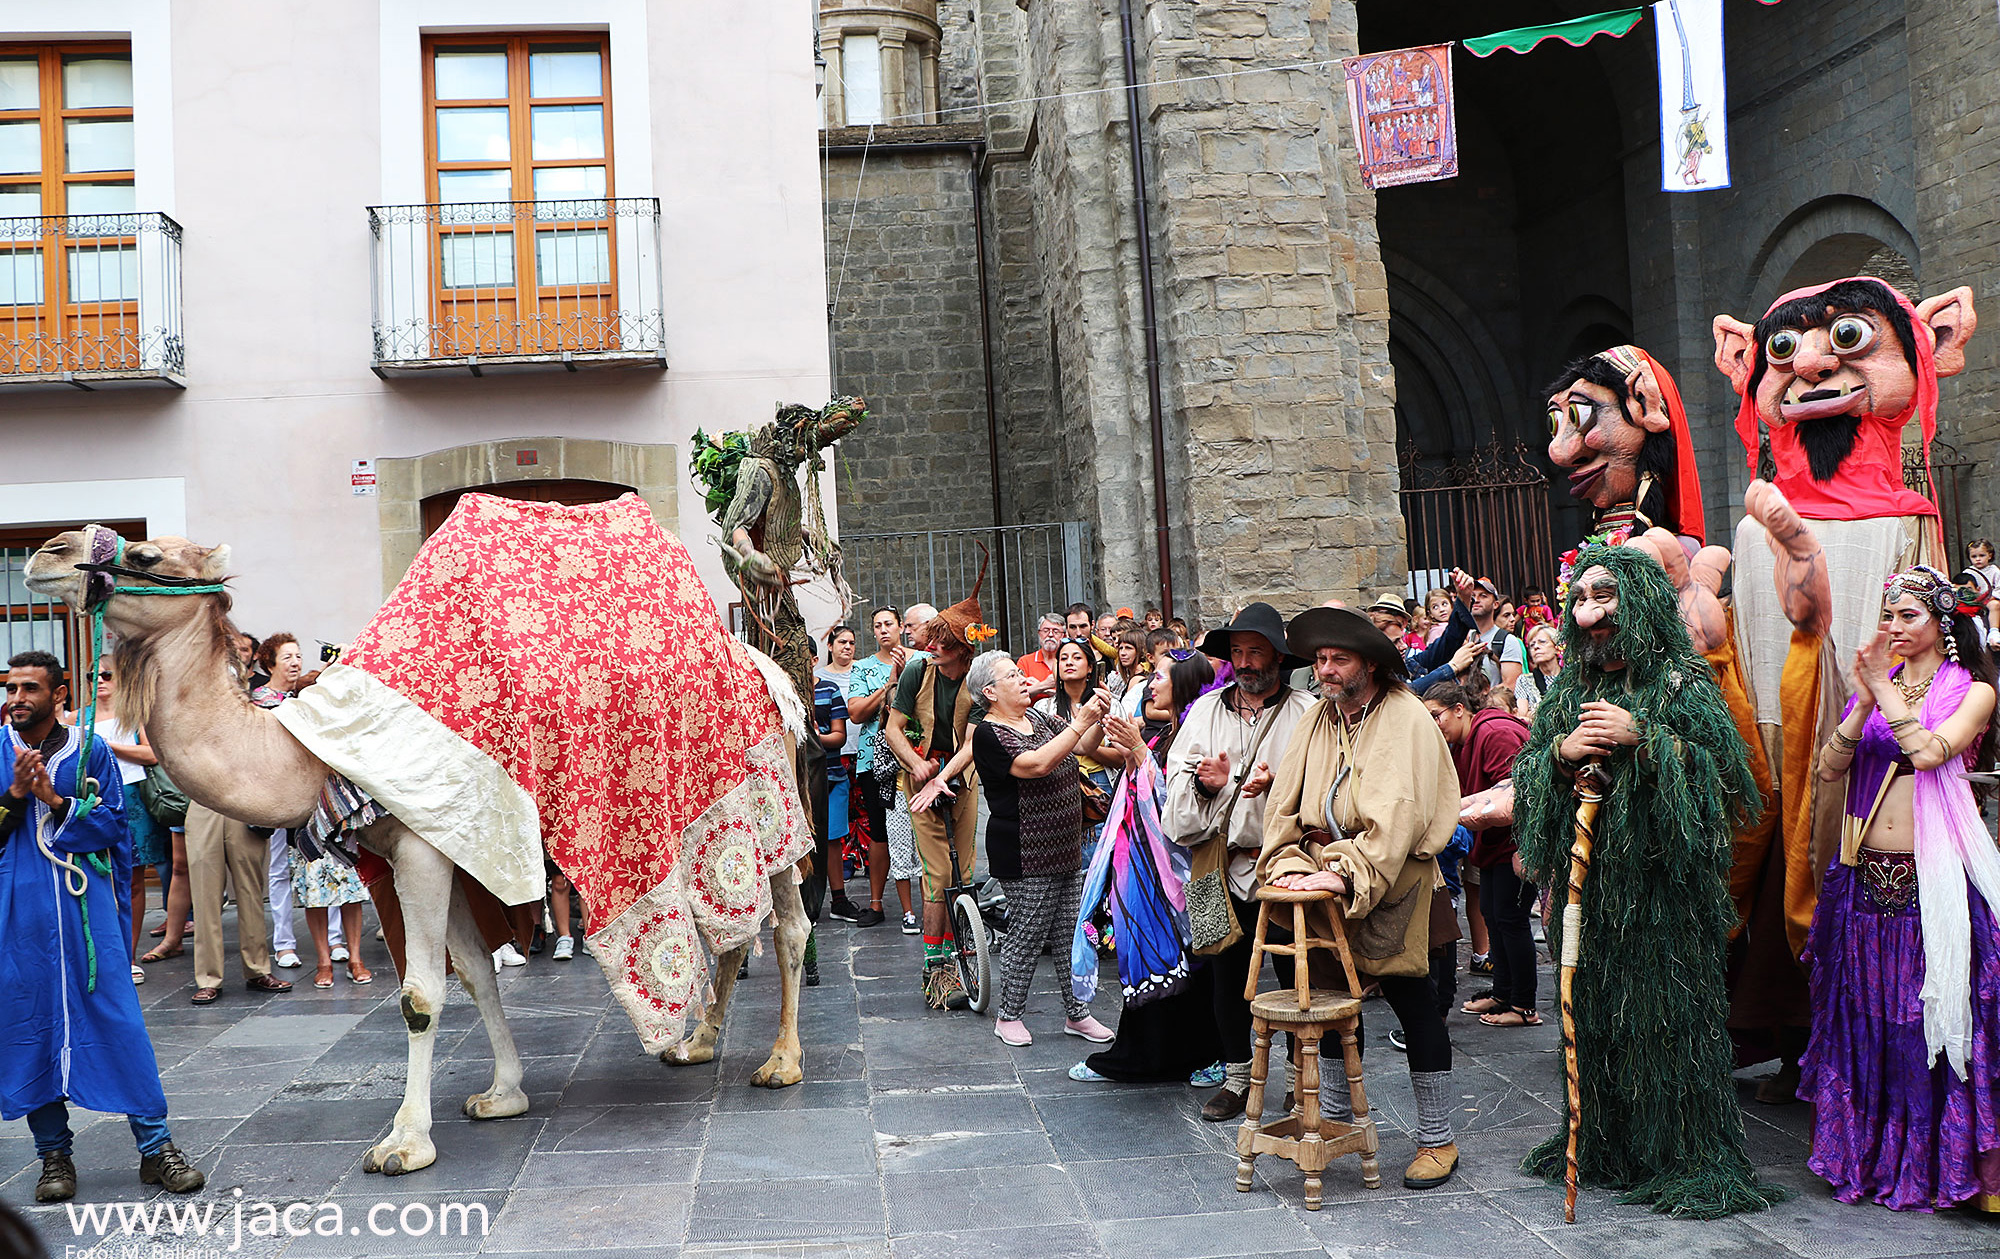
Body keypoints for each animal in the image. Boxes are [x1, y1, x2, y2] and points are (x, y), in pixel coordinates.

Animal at [27, 523, 808, 1183]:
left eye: (144, 553)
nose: (46, 553)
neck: (312, 754)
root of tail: (774, 673)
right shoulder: (454, 852)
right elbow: (477, 975)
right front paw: (503, 1093)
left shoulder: (422, 851)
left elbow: (422, 994)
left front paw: (405, 1141)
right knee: (732, 928)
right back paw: (696, 1042)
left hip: (770, 796)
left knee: (788, 925)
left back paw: (781, 1062)